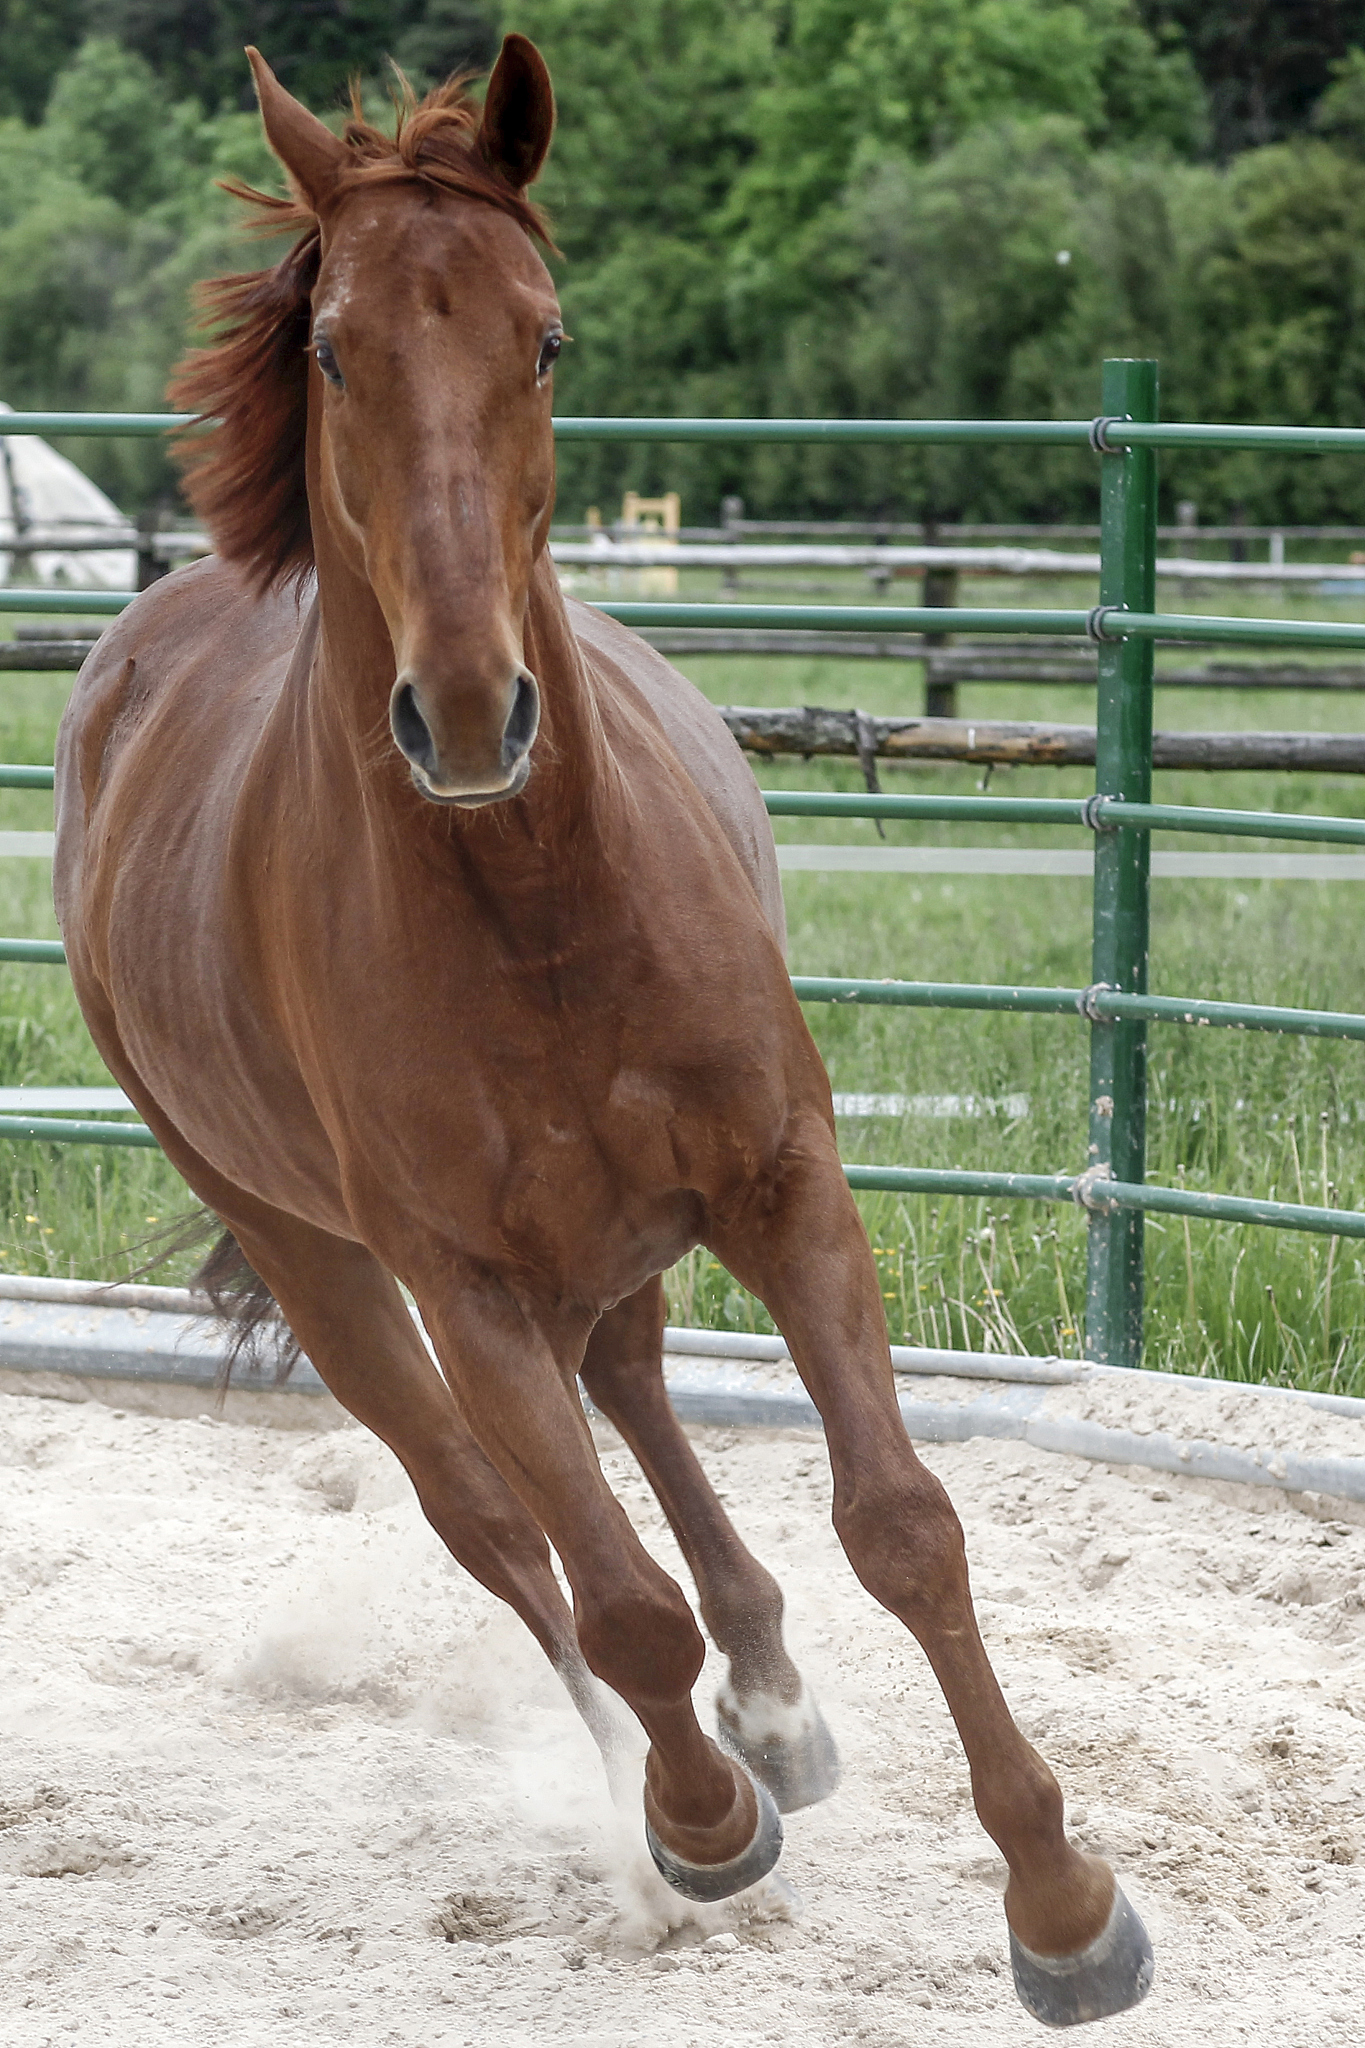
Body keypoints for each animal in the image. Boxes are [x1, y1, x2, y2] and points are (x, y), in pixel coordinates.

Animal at [52, 37, 1151, 2026]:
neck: (537, 901)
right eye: (334, 348)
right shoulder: (464, 1283)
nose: (468, 707)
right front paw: (698, 1827)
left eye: (545, 338)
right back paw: (675, 1795)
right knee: (499, 1525)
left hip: (626, 1223)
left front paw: (1058, 1903)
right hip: (322, 1264)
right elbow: (607, 1588)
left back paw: (774, 1703)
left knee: (632, 1371)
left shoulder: (788, 1182)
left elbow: (903, 1521)